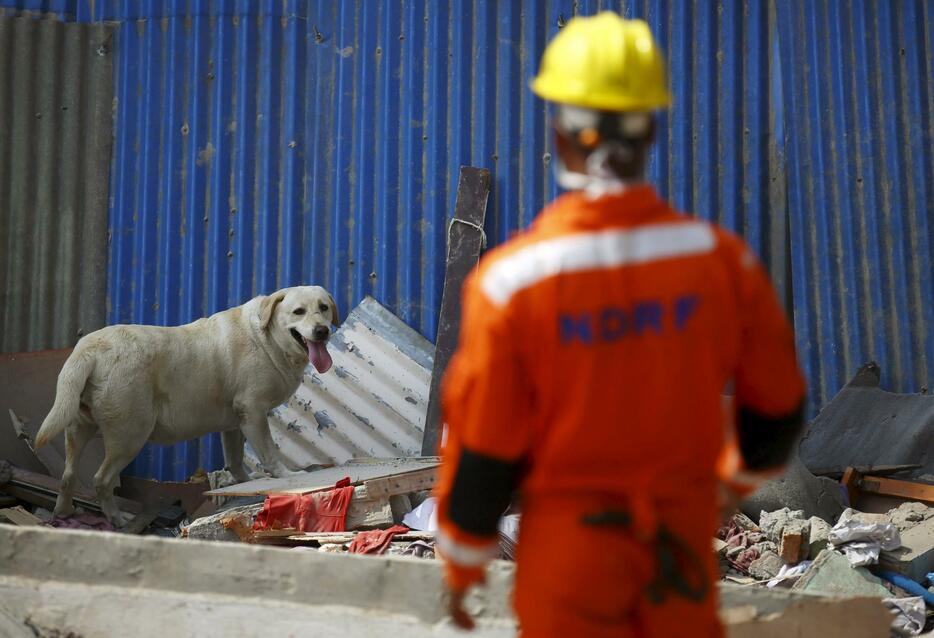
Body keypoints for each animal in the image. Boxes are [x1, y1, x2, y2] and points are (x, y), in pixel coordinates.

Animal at [34, 286, 340, 524]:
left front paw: (243, 481)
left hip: (78, 426)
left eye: (323, 307)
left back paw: (64, 512)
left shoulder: (235, 421)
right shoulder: (254, 411)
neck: (268, 338)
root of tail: (90, 349)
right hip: (130, 435)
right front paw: (285, 475)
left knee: (68, 474)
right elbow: (269, 452)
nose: (322, 331)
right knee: (101, 479)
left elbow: (234, 460)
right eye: (298, 311)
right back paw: (118, 519)